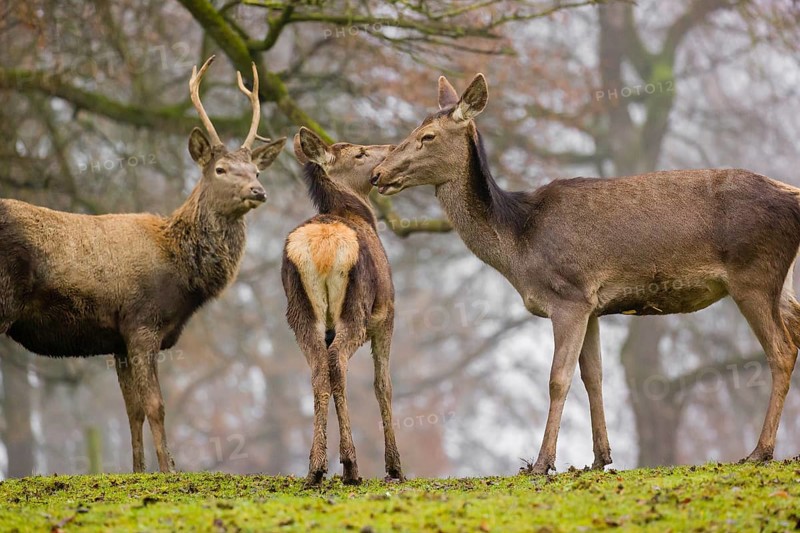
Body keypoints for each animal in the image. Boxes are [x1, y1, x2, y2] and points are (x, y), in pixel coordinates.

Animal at [0, 55, 286, 473]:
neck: (182, 275)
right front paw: (168, 471)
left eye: (257, 171)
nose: (258, 191)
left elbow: (132, 410)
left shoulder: (118, 339)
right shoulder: (142, 323)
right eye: (220, 169)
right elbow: (156, 405)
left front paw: (138, 472)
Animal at [282, 127, 403, 486]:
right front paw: (395, 467)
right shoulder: (387, 314)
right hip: (356, 310)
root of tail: (323, 248)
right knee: (337, 361)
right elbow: (383, 384)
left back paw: (316, 467)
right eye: (359, 153)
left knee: (319, 368)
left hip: (299, 312)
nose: (392, 147)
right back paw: (350, 464)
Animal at [371, 73, 800, 474]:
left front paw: (542, 462)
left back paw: (760, 451)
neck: (519, 243)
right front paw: (600, 457)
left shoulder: (568, 296)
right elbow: (593, 376)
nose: (377, 173)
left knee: (781, 352)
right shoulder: (592, 305)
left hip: (754, 276)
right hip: (783, 285)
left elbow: (558, 378)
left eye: (426, 136)